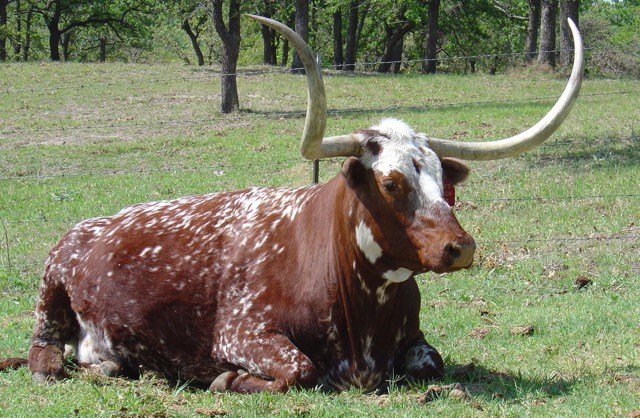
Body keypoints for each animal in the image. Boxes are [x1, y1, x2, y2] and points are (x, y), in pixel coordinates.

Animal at [0, 16, 584, 393]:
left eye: (447, 182)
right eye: (392, 183)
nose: (460, 247)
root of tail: (87, 226)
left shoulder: (416, 344)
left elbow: (432, 364)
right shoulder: (243, 332)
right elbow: (297, 372)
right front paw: (226, 378)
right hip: (50, 296)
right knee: (45, 358)